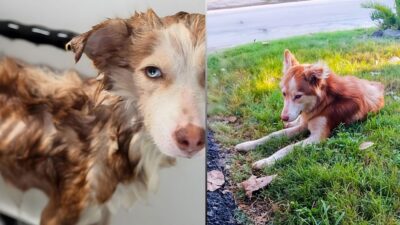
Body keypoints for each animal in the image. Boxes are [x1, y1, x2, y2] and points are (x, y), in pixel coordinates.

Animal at [234, 49, 384, 169]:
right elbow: (274, 135)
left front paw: (266, 161)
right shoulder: (304, 124)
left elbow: (288, 147)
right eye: (284, 94)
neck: (323, 102)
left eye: (298, 96)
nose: (283, 117)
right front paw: (247, 145)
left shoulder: (317, 136)